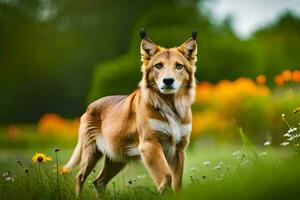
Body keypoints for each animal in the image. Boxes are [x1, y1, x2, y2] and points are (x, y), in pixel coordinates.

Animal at [62, 30, 197, 195]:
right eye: (158, 66)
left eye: (179, 66)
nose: (168, 81)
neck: (170, 104)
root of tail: (90, 106)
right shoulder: (149, 145)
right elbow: (166, 175)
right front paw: (162, 191)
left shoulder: (179, 149)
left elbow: (177, 183)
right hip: (91, 152)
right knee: (80, 177)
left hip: (117, 157)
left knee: (99, 182)